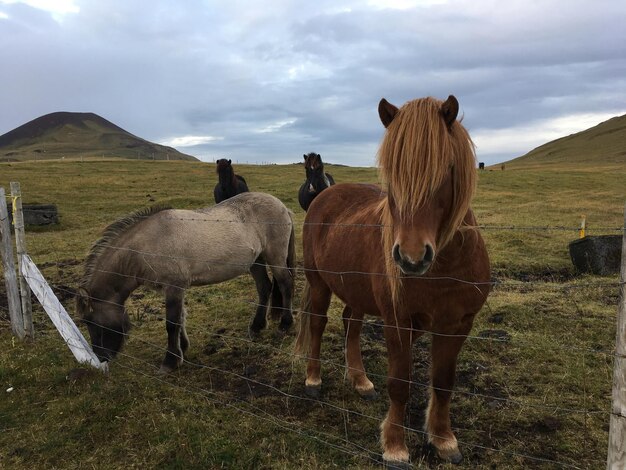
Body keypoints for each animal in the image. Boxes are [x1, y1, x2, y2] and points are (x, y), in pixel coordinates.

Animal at [75, 193, 294, 372]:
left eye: (90, 321)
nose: (101, 357)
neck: (148, 243)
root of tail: (282, 206)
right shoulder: (174, 289)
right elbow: (180, 317)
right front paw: (183, 348)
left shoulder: (174, 287)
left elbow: (172, 322)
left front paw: (171, 361)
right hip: (256, 261)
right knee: (264, 288)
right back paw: (256, 327)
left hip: (275, 257)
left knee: (285, 284)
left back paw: (285, 324)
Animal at [294, 94, 490, 466]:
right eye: (391, 175)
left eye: (447, 170)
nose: (411, 258)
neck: (442, 268)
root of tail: (322, 197)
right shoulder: (398, 322)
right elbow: (400, 383)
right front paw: (395, 446)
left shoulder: (458, 324)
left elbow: (443, 382)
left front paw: (443, 439)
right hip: (320, 284)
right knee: (317, 323)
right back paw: (312, 380)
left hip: (355, 291)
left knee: (351, 325)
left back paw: (360, 380)